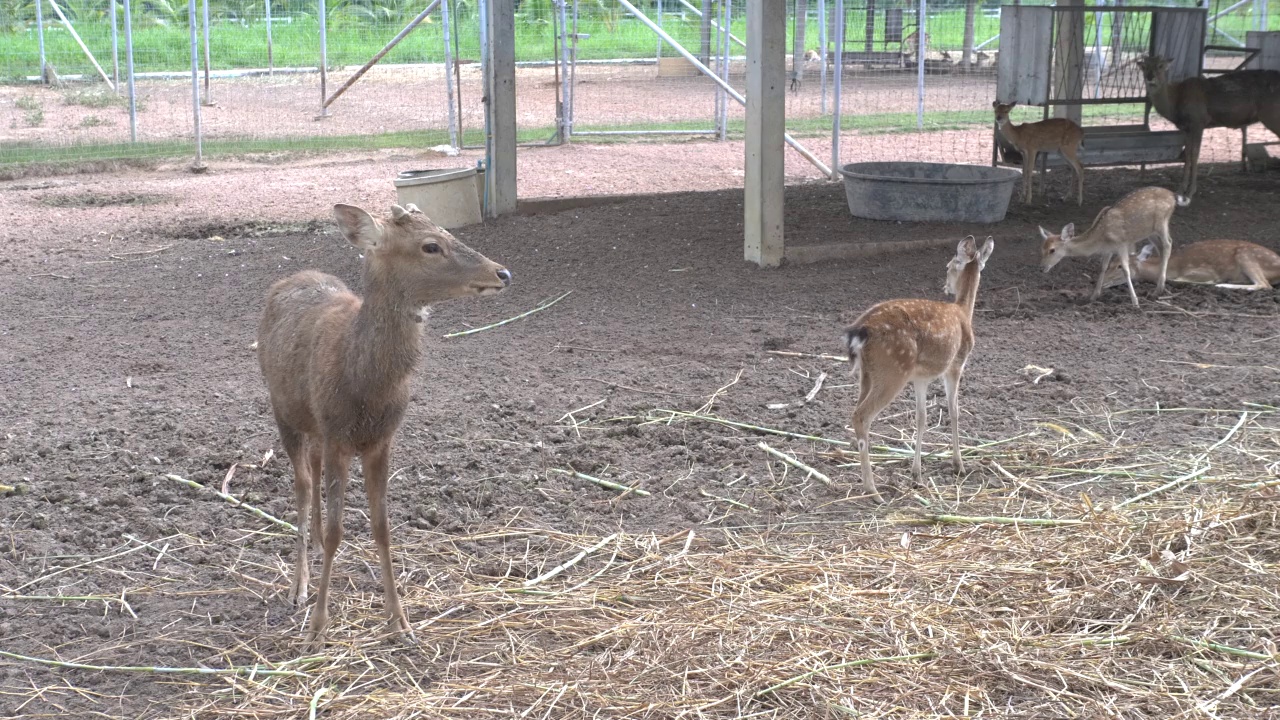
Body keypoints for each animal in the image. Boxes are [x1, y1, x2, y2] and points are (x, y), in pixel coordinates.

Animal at [257, 203, 512, 645]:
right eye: (431, 246)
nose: (502, 272)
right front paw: (318, 628)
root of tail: (293, 277)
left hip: (316, 426)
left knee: (314, 476)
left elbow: (382, 528)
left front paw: (400, 622)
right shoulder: (339, 436)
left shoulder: (381, 439)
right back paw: (298, 586)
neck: (365, 387)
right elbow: (338, 531)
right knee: (302, 487)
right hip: (282, 409)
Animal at [844, 234, 993, 499]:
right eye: (948, 265)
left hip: (867, 374)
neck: (964, 312)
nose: (945, 286)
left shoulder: (921, 377)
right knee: (862, 415)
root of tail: (859, 330)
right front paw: (959, 465)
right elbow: (954, 411)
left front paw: (917, 474)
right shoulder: (956, 364)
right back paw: (872, 489)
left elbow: (921, 417)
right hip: (893, 370)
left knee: (855, 411)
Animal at [1039, 183, 1187, 303]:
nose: (1042, 267)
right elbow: (1103, 267)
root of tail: (1173, 196)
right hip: (1149, 231)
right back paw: (1158, 288)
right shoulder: (1108, 249)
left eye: (1052, 250)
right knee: (1160, 248)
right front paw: (1093, 296)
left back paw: (1159, 289)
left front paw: (1135, 302)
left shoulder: (1121, 243)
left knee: (1168, 243)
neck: (1100, 239)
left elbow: (1126, 269)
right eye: (1042, 248)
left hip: (1162, 222)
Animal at [1100, 237, 1280, 289]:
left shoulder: (1202, 271)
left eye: (1120, 266)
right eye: (1110, 263)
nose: (1102, 282)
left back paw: (1223, 285)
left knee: (1264, 285)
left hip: (1246, 256)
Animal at [1136, 53, 1280, 196]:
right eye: (1144, 67)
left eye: (1160, 65)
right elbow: (1187, 155)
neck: (1174, 104)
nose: (1150, 77)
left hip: (1272, 114)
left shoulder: (1198, 121)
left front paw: (1191, 190)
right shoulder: (1186, 128)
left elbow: (1195, 154)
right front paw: (1181, 189)